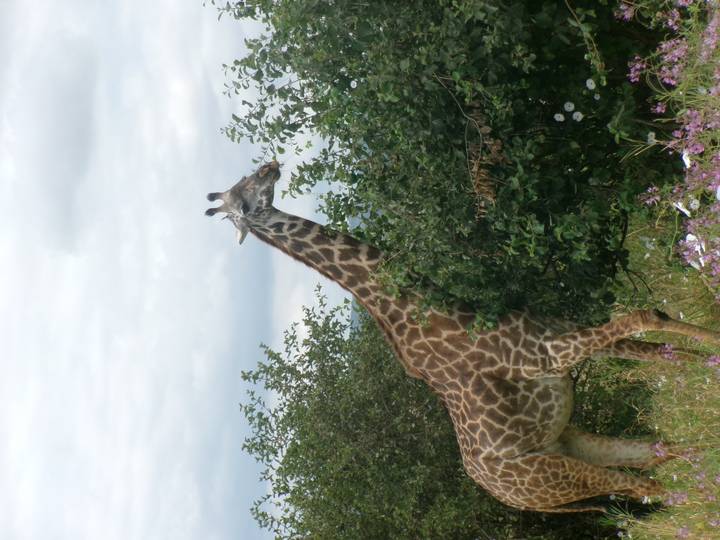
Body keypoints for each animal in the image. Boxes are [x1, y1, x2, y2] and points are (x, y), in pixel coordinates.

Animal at [206, 160, 720, 513]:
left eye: (249, 181)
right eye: (243, 194)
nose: (271, 165)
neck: (449, 313)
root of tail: (509, 497)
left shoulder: (562, 333)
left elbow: (659, 340)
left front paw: (709, 363)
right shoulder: (550, 352)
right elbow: (643, 316)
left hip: (567, 442)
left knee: (658, 457)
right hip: (554, 474)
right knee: (649, 485)